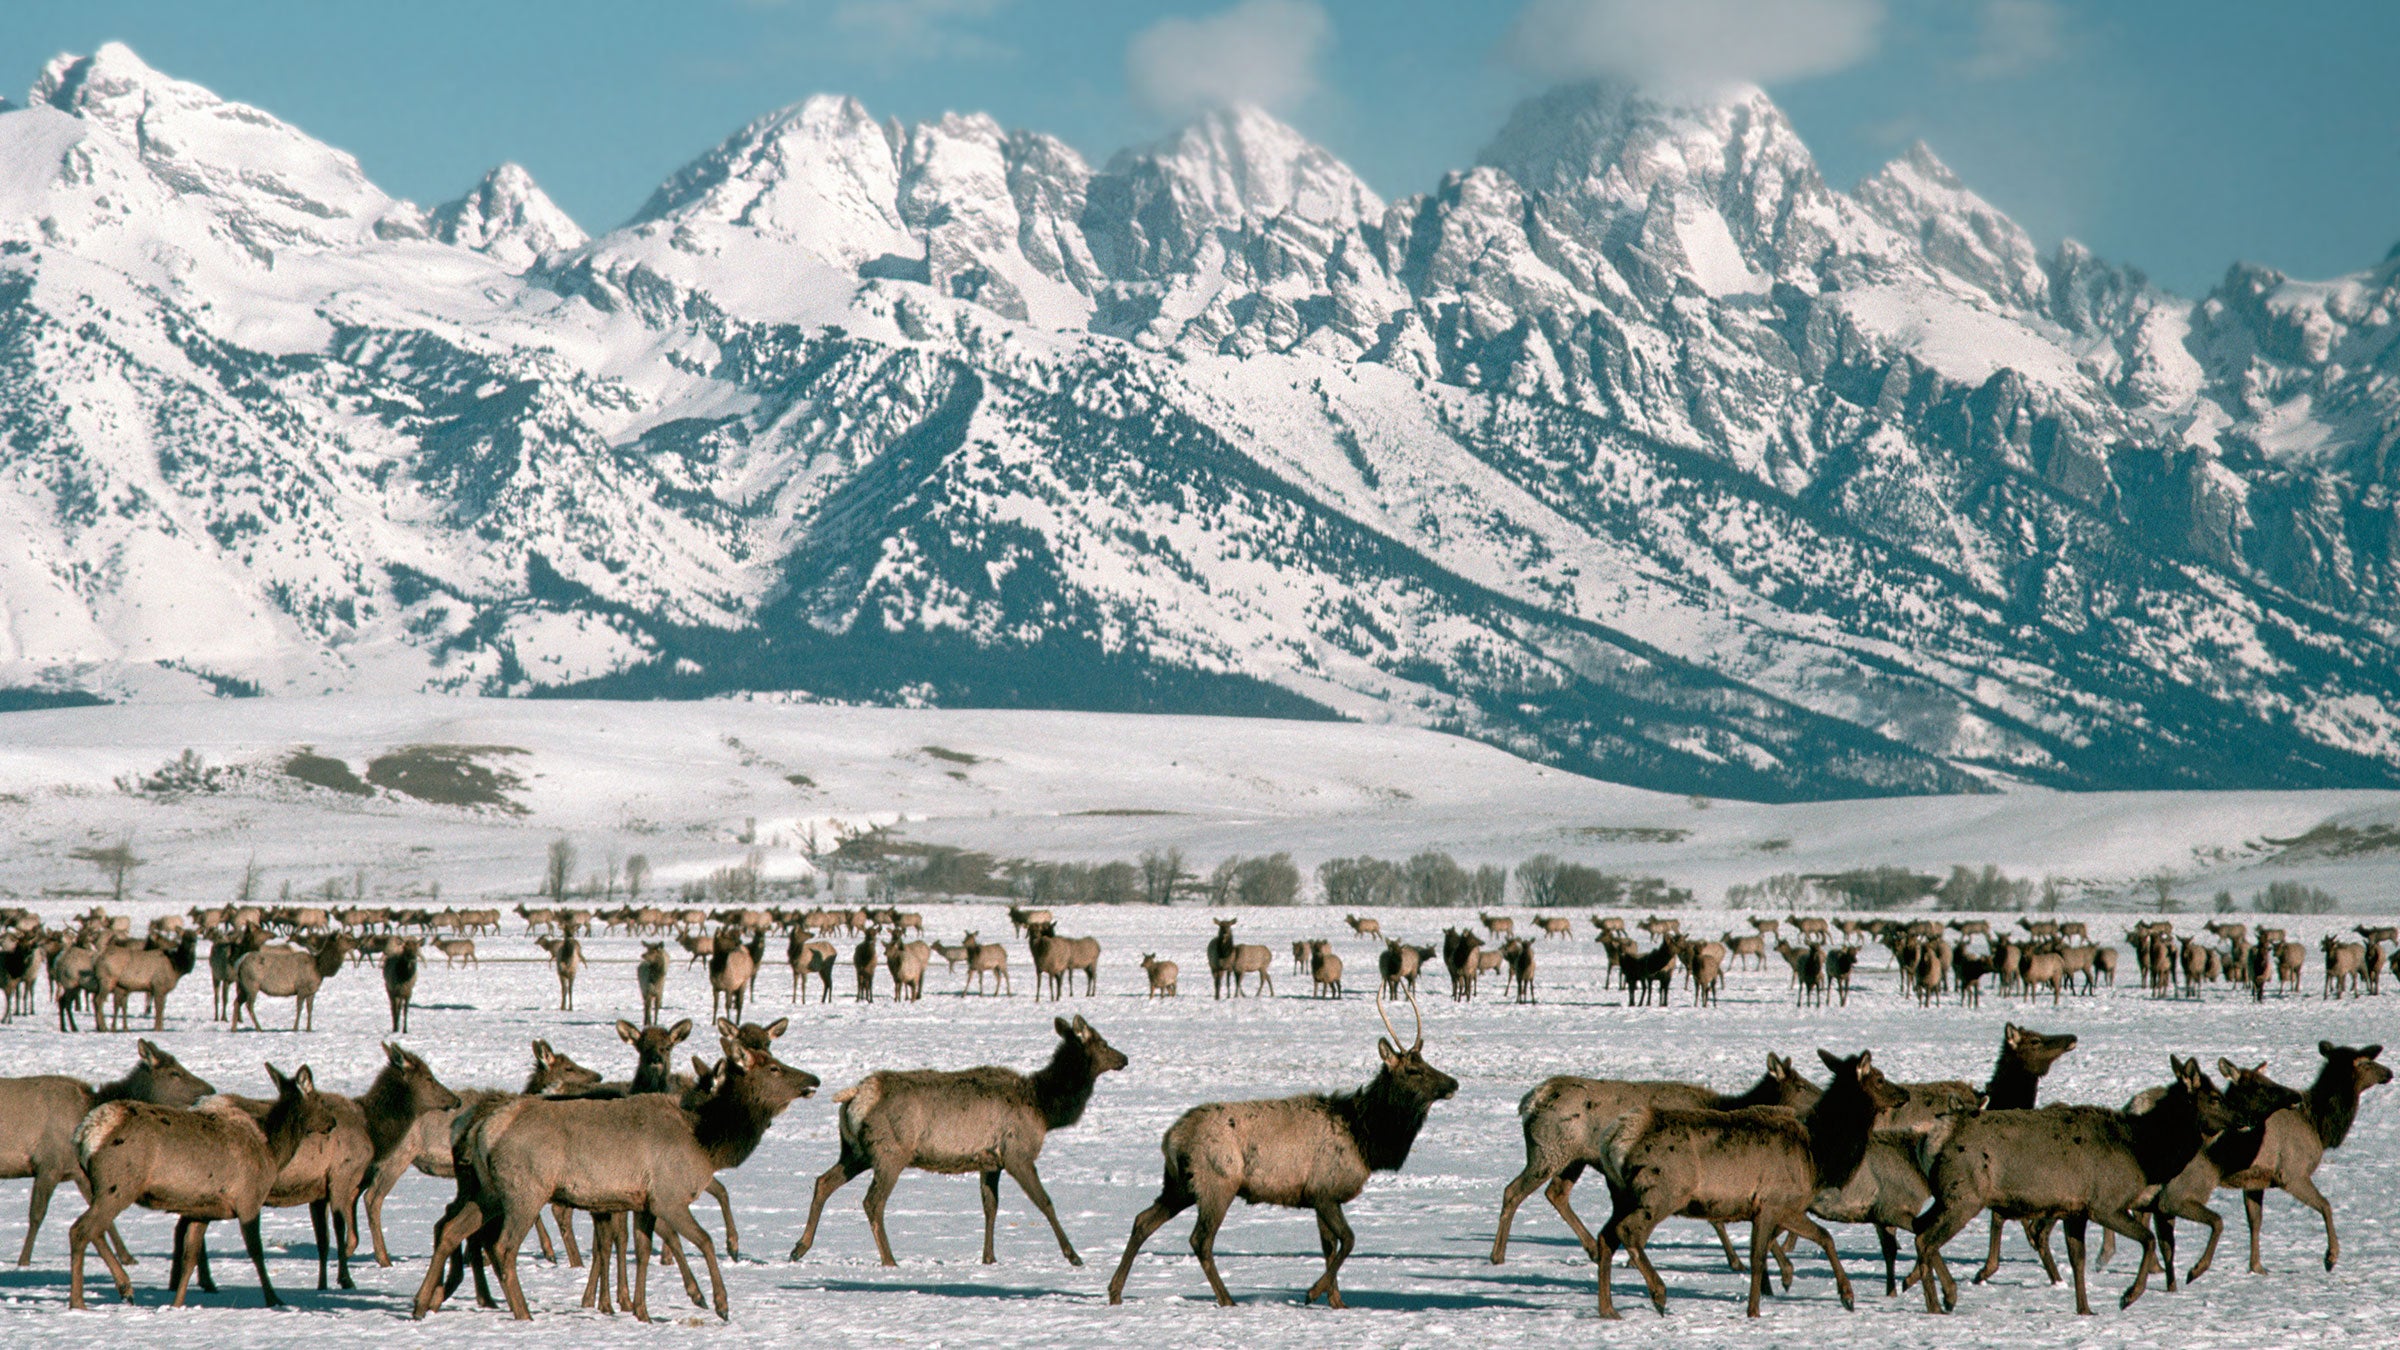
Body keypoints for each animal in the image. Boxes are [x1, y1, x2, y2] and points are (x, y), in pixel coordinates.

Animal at [69, 1063, 341, 1309]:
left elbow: (190, 1258)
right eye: (320, 1099)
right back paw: (80, 1301)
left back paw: (123, 1288)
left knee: (94, 1229)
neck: (272, 1151)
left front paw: (177, 1304)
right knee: (81, 1229)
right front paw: (274, 1299)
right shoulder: (249, 1200)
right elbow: (256, 1251)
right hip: (118, 1186)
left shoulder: (201, 1210)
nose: (333, 1121)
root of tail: (85, 1136)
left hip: (104, 1188)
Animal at [791, 1015, 1127, 1267]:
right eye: (1103, 1042)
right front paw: (1074, 1256)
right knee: (872, 1201)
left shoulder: (990, 1161)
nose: (1124, 1058)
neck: (1045, 1108)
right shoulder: (1018, 1153)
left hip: (855, 1151)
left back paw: (799, 1248)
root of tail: (857, 1095)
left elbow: (991, 1206)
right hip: (890, 1153)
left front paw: (989, 1258)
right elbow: (1045, 1201)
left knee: (823, 1181)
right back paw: (889, 1260)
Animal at [1109, 989, 1453, 1307]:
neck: (1366, 1138)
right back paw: (1227, 1299)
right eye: (1413, 1070)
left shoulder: (1321, 1196)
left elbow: (1330, 1248)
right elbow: (1349, 1241)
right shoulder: (1324, 1191)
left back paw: (1115, 1291)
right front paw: (1312, 1292)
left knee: (1143, 1221)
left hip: (1180, 1184)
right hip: (1217, 1181)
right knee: (1200, 1239)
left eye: (1426, 1062)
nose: (1453, 1083)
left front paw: (1337, 1302)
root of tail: (1171, 1137)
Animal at [1596, 1050, 1906, 1318]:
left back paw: (1608, 1309)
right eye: (1880, 1078)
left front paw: (1847, 1297)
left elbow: (1823, 1237)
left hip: (1622, 1195)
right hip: (1663, 1192)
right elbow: (1759, 1257)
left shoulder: (1785, 1206)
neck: (1818, 1156)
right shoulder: (1773, 1201)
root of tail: (1618, 1138)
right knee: (1628, 1231)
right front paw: (1754, 1310)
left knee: (1605, 1237)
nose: (1904, 1094)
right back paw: (1658, 1294)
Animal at [1909, 1056, 2233, 1315]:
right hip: (1965, 1195)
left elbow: (2079, 1260)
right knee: (1927, 1239)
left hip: (1947, 1196)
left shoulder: (2075, 1209)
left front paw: (2085, 1309)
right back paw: (1944, 1300)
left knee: (1919, 1228)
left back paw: (1935, 1298)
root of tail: (1936, 1137)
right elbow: (2149, 1239)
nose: (2240, 1116)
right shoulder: (2106, 1203)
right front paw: (2130, 1296)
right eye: (2214, 1097)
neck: (2144, 1151)